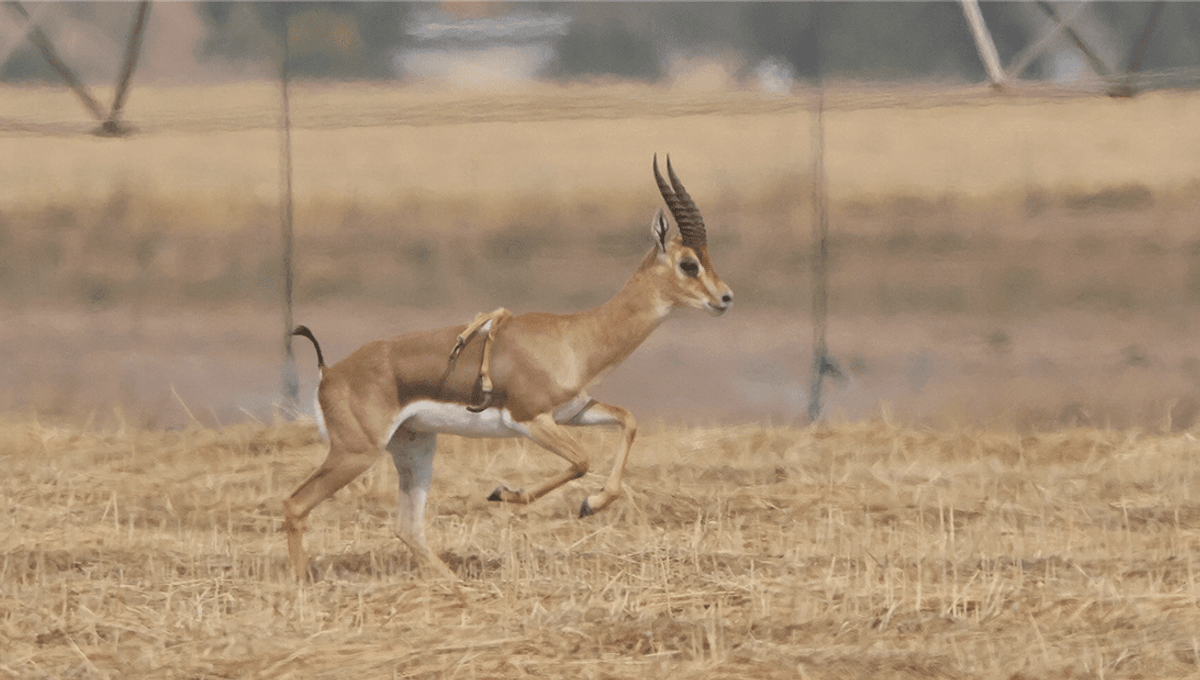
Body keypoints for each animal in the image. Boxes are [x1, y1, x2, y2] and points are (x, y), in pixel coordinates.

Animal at [284, 155, 733, 580]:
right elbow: (582, 461)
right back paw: (303, 583)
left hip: (415, 448)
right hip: (355, 453)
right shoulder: (530, 420)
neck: (574, 337)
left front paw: (591, 503)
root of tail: (330, 372)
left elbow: (628, 420)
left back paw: (456, 582)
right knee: (295, 504)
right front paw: (505, 494)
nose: (726, 298)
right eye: (689, 263)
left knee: (407, 527)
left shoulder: (572, 413)